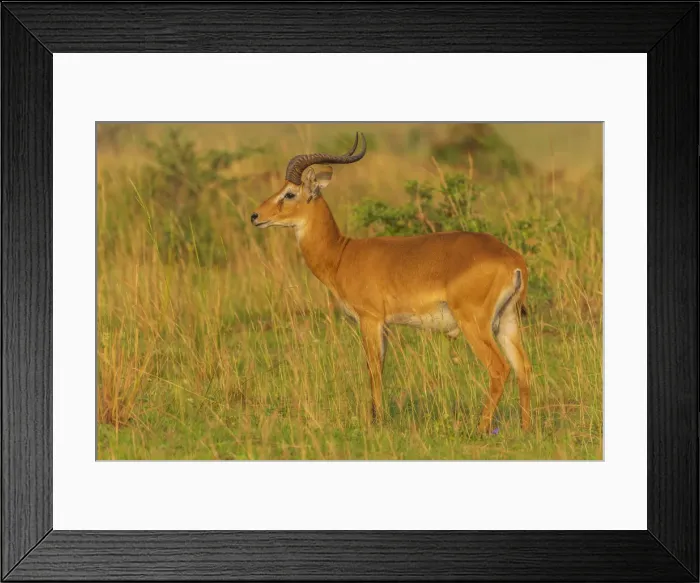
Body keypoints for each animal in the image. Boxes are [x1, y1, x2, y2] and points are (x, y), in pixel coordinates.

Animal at [251, 133, 532, 432]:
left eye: (289, 193)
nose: (255, 216)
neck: (341, 254)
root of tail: (513, 260)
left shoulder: (370, 319)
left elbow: (373, 367)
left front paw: (376, 421)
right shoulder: (383, 324)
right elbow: (380, 366)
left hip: (475, 324)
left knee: (499, 368)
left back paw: (480, 429)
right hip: (507, 321)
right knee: (523, 367)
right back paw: (525, 429)